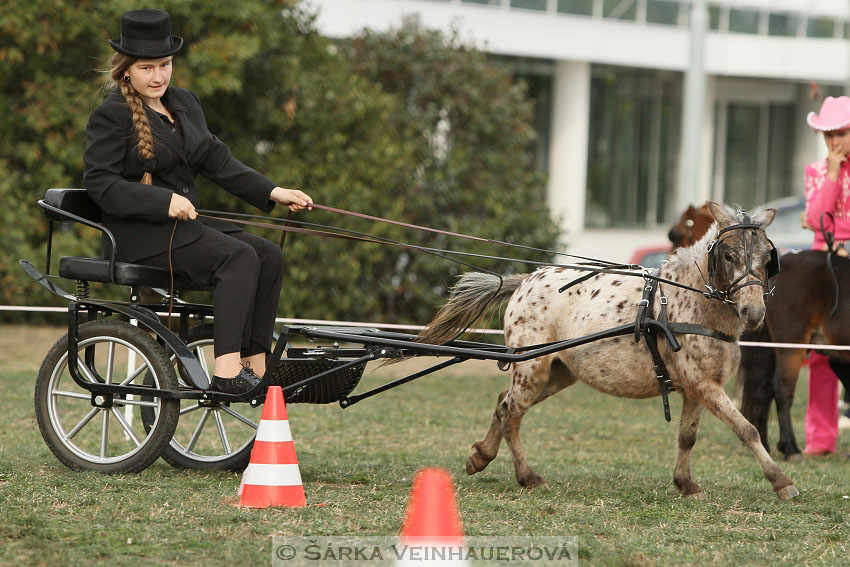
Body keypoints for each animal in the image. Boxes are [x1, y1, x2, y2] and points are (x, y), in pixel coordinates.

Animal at [418, 203, 796, 502]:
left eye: (767, 258)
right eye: (729, 255)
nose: (753, 312)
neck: (693, 301)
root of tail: (525, 281)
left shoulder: (697, 387)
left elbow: (687, 436)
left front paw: (685, 484)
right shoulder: (705, 385)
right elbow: (747, 430)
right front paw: (782, 482)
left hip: (557, 372)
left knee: (503, 404)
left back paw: (481, 456)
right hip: (533, 367)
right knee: (512, 414)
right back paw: (528, 477)